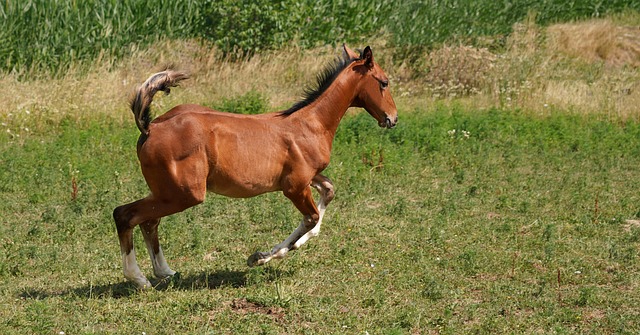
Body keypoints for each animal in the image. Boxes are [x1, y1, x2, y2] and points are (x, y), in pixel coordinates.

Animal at [112, 46, 398, 290]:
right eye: (384, 82)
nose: (393, 119)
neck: (311, 124)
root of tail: (151, 127)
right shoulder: (294, 187)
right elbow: (312, 217)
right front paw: (260, 257)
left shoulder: (307, 177)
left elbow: (328, 192)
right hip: (184, 194)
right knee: (124, 214)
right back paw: (139, 279)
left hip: (165, 192)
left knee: (149, 222)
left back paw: (165, 272)